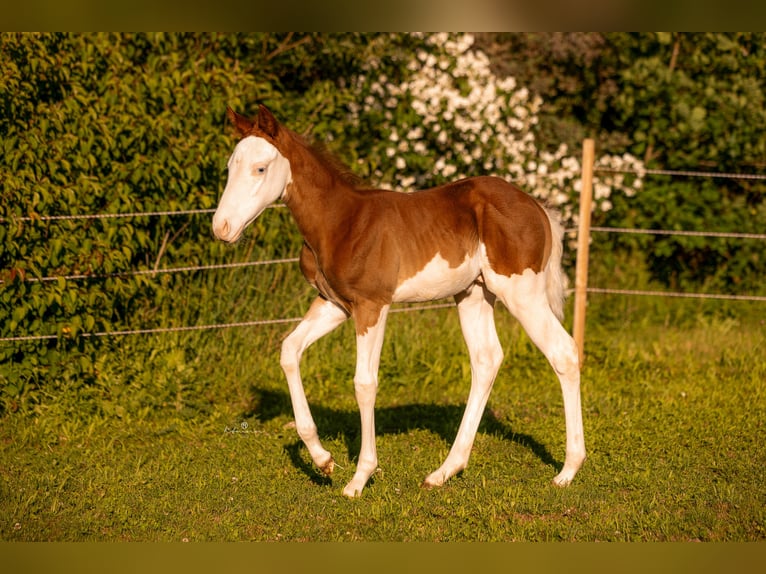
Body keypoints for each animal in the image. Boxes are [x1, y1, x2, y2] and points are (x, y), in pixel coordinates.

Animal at [212, 105, 586, 497]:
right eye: (230, 167)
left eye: (260, 168)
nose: (221, 228)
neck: (340, 222)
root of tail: (538, 207)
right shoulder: (333, 304)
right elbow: (289, 351)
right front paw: (323, 459)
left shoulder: (372, 306)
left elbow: (364, 383)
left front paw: (360, 478)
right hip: (473, 293)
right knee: (486, 360)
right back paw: (444, 471)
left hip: (521, 292)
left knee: (563, 352)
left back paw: (567, 470)